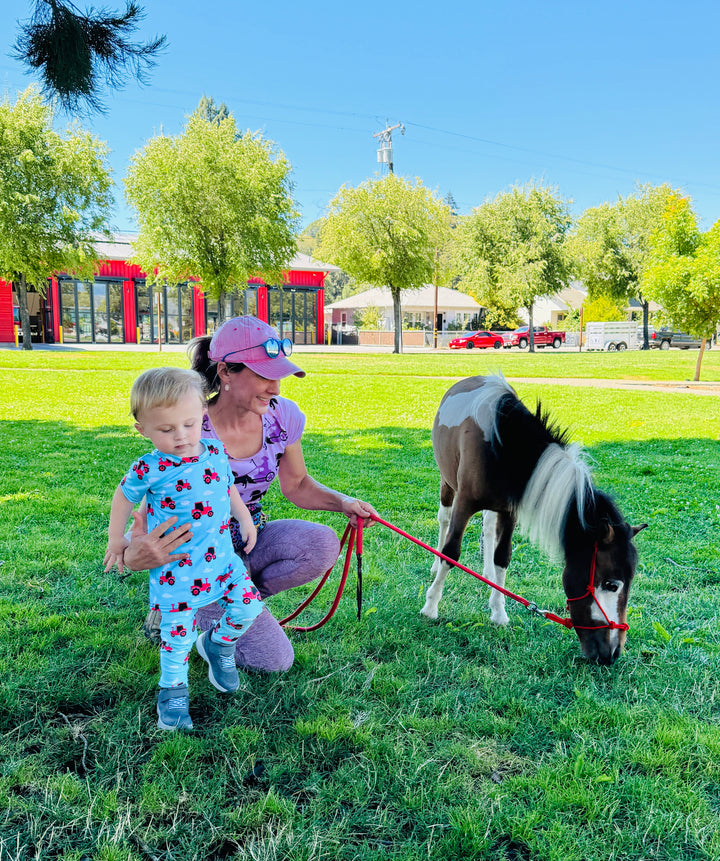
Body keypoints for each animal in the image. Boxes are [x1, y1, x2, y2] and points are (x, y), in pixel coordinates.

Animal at [422, 372, 648, 660]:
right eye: (611, 584)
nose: (613, 653)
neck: (503, 448)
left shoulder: (509, 513)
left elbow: (502, 557)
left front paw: (498, 610)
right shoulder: (464, 503)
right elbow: (451, 553)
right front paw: (431, 606)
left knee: (488, 528)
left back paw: (486, 572)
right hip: (447, 484)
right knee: (444, 520)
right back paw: (434, 564)